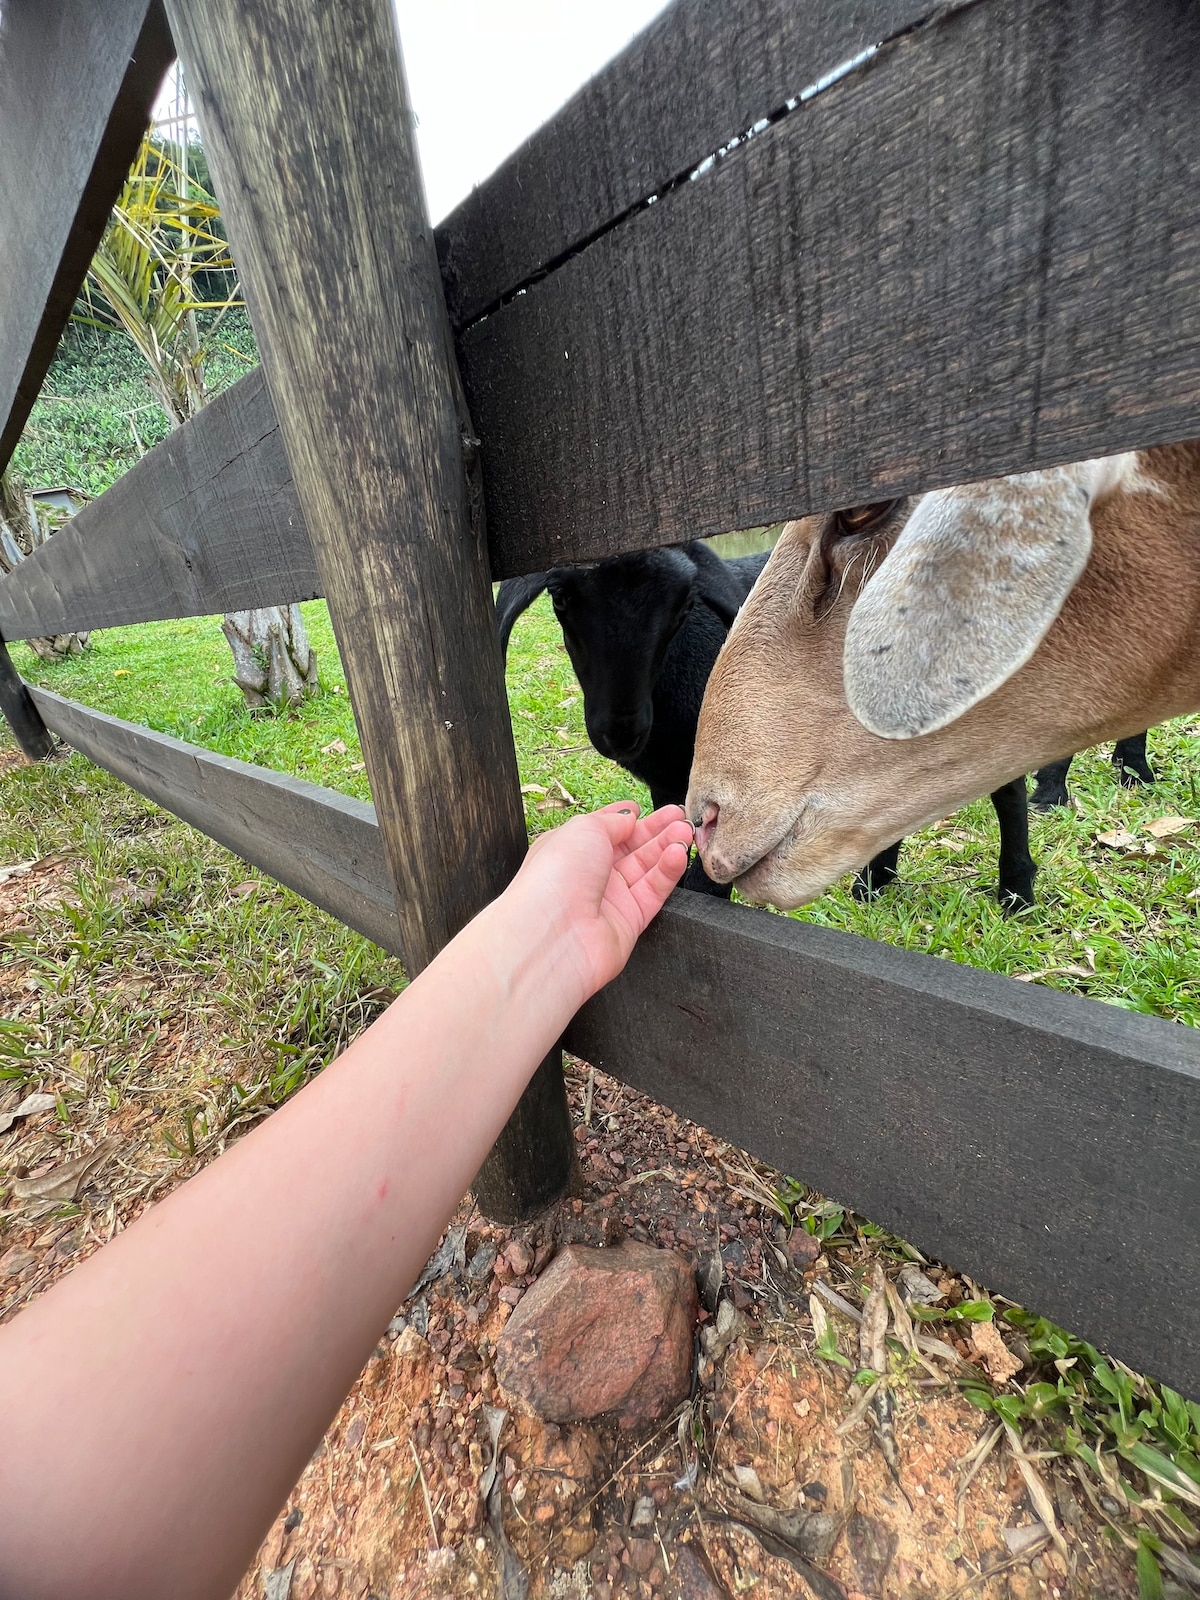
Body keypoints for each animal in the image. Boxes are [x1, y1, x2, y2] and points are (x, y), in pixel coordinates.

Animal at [499, 544, 1043, 908]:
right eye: (560, 598)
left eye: (683, 606)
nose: (621, 732)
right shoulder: (671, 785)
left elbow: (708, 883)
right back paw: (873, 884)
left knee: (1008, 789)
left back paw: (1016, 892)